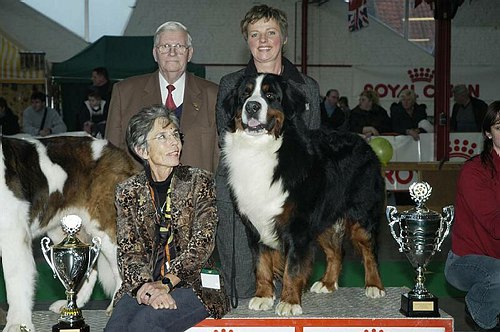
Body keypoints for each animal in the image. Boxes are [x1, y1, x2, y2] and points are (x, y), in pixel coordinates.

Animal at [0, 134, 137, 330]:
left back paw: (116, 307)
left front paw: (17, 324)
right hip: (64, 229)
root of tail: (115, 151)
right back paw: (71, 305)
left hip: (105, 227)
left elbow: (15, 282)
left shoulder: (12, 234)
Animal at [223, 73, 386, 316]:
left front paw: (289, 301)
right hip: (323, 219)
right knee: (336, 252)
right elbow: (261, 264)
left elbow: (293, 267)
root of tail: (364, 142)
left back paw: (374, 286)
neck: (261, 150)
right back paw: (327, 283)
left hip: (361, 215)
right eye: (245, 94)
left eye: (270, 95)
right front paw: (263, 296)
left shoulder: (297, 225)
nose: (252, 106)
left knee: (370, 251)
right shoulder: (255, 224)